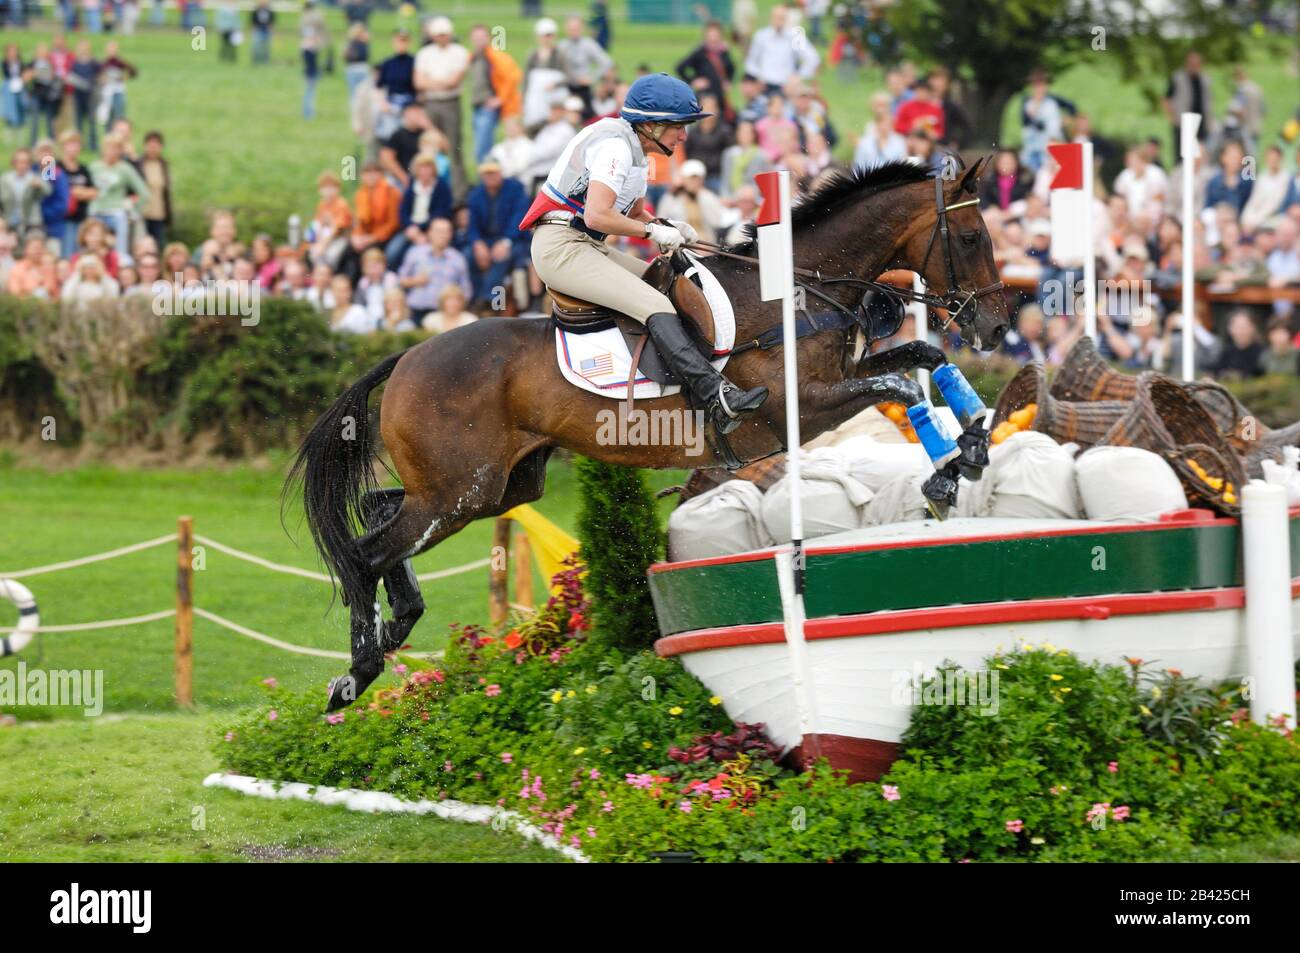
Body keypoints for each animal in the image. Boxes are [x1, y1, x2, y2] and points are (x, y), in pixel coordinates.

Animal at [292, 157, 1013, 707]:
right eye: (971, 237)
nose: (998, 325)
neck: (796, 292)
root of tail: (406, 356)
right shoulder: (800, 408)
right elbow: (903, 385)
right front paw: (945, 473)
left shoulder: (838, 384)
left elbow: (926, 360)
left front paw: (974, 444)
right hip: (459, 491)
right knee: (367, 553)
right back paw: (357, 672)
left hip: (492, 486)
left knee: (377, 512)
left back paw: (397, 624)